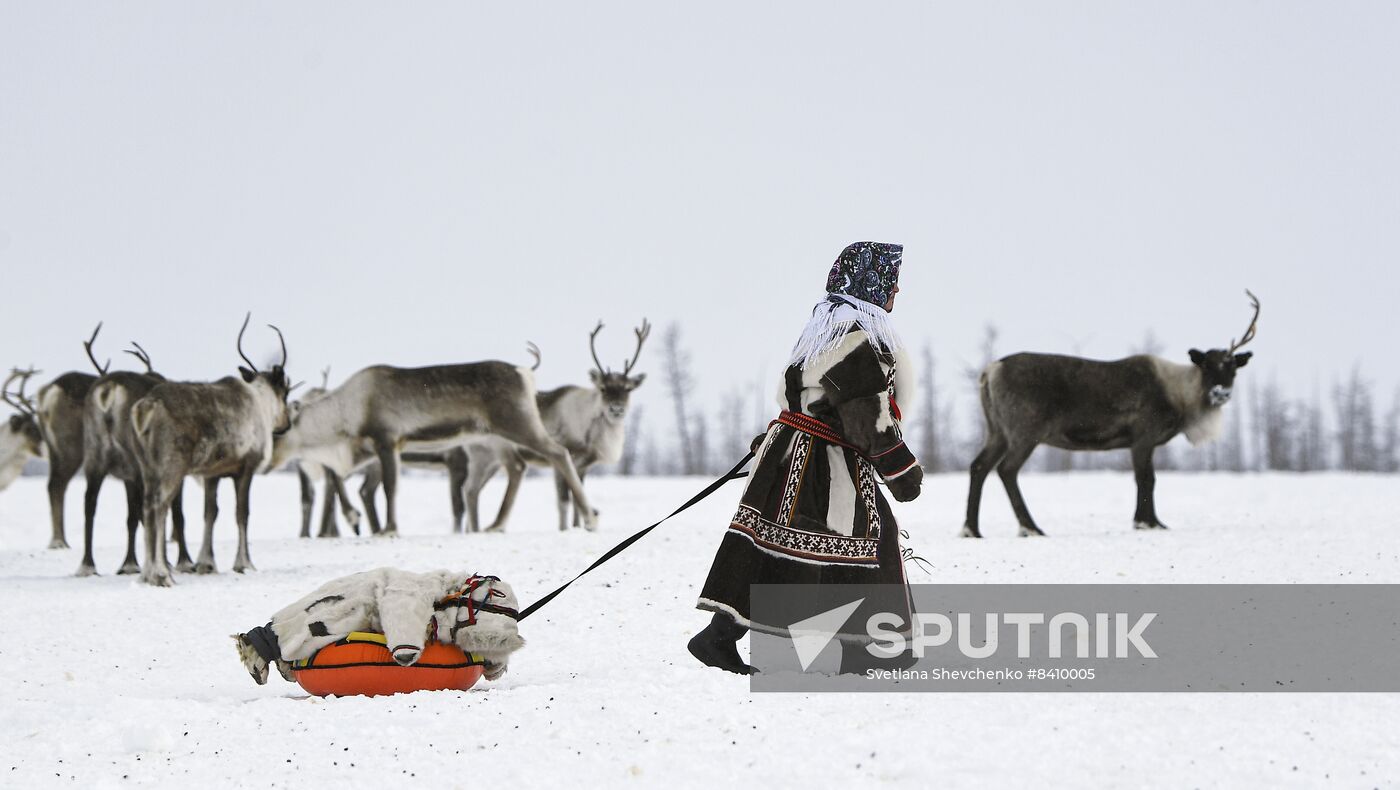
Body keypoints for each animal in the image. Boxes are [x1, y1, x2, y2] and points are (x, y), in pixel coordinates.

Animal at [76, 339, 190, 576]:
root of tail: (108, 390)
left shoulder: (129, 477)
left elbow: (133, 517)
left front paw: (134, 563)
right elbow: (177, 514)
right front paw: (183, 561)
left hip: (95, 455)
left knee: (90, 503)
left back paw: (88, 565)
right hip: (135, 460)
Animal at [129, 315, 292, 586]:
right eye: (286, 391)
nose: (286, 424)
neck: (261, 404)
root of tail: (146, 406)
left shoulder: (212, 473)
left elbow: (210, 513)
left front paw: (206, 563)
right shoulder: (247, 466)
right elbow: (242, 513)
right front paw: (244, 563)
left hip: (147, 467)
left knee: (147, 506)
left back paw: (146, 574)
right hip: (171, 465)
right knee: (159, 506)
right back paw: (161, 574)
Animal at [268, 347, 597, 537]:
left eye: (279, 431)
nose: (266, 461)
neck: (346, 412)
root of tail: (524, 372)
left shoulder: (386, 441)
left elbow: (390, 487)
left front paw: (389, 530)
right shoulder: (366, 450)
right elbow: (346, 481)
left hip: (518, 424)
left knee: (558, 453)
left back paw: (590, 519)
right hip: (497, 436)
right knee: (520, 466)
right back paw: (496, 524)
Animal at [963, 290, 1260, 538]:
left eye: (1233, 368)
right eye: (1207, 366)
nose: (1221, 393)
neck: (1181, 399)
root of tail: (989, 371)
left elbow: (1147, 479)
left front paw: (1151, 522)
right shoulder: (1143, 435)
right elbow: (1146, 478)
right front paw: (1147, 522)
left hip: (997, 430)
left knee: (978, 466)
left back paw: (971, 530)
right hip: (1025, 430)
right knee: (1006, 469)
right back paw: (1030, 528)